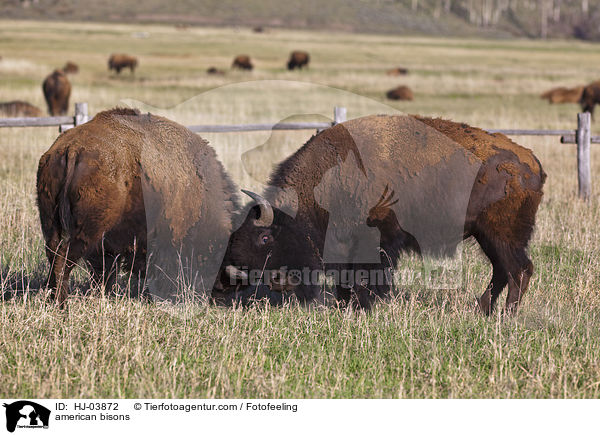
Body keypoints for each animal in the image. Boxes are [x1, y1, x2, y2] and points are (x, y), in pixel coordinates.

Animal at [35, 107, 239, 308]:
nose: (217, 293)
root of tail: (72, 148)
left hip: (51, 222)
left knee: (54, 253)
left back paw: (52, 297)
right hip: (88, 230)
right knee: (64, 257)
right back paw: (61, 303)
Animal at [214, 114, 544, 316]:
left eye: (264, 236)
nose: (225, 279)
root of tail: (531, 162)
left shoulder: (378, 241)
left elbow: (368, 275)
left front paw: (361, 306)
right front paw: (345, 305)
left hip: (502, 235)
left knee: (519, 269)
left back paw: (506, 316)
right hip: (487, 236)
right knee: (502, 270)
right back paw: (483, 310)